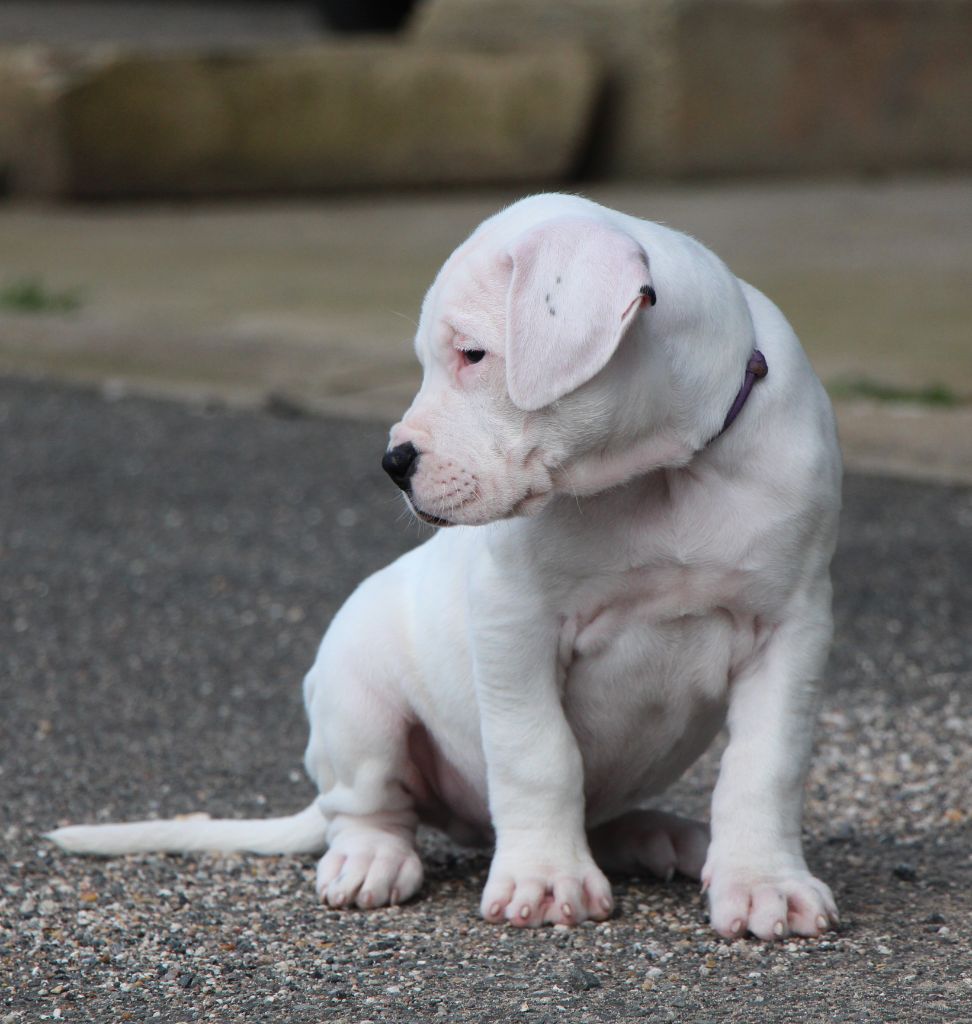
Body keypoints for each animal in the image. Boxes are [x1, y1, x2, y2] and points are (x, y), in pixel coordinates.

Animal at [49, 193, 842, 940]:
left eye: (472, 354)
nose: (392, 462)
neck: (662, 474)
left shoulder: (792, 630)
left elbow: (765, 768)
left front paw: (765, 884)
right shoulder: (513, 618)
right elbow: (539, 754)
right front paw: (546, 880)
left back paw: (658, 834)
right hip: (359, 700)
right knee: (366, 807)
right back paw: (371, 858)